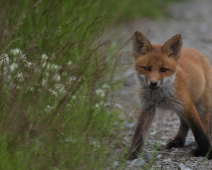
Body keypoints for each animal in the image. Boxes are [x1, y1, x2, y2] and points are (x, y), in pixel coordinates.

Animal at [126, 31, 212, 160]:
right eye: (146, 68)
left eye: (163, 69)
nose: (153, 83)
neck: (158, 97)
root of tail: (195, 50)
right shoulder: (146, 107)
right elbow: (138, 134)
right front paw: (132, 155)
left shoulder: (187, 105)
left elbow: (199, 132)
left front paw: (208, 152)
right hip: (179, 108)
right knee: (184, 123)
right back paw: (178, 141)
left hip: (201, 106)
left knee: (205, 128)